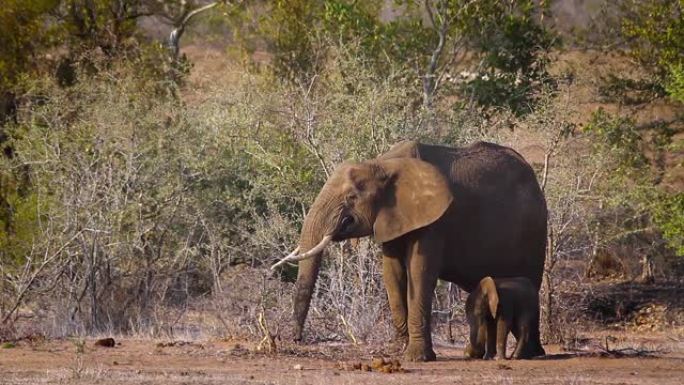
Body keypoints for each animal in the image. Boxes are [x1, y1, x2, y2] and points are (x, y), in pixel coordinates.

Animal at [272, 140, 544, 360]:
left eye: (351, 197)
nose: (296, 339)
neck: (383, 164)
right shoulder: (393, 216)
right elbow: (392, 273)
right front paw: (397, 350)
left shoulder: (435, 220)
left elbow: (419, 272)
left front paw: (416, 358)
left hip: (534, 233)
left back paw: (529, 355)